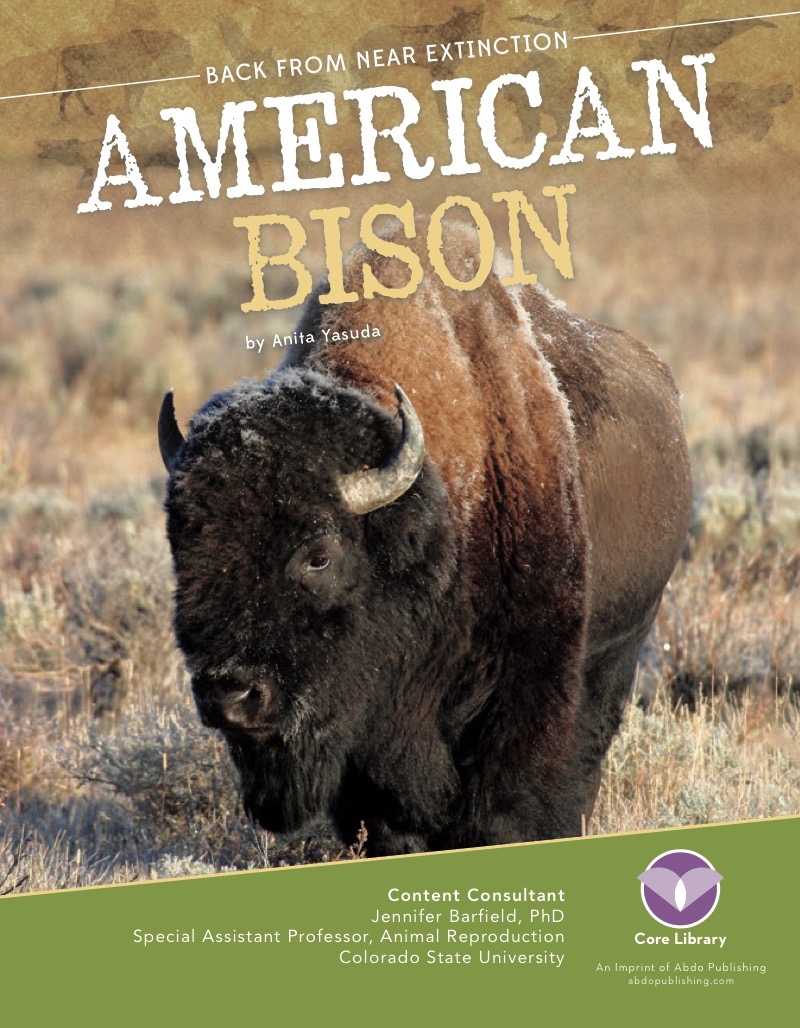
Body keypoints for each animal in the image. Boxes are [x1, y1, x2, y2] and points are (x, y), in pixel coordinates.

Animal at [158, 222, 692, 856]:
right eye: (183, 547)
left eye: (319, 556)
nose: (231, 695)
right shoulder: (368, 751)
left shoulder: (526, 691)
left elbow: (506, 809)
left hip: (622, 643)